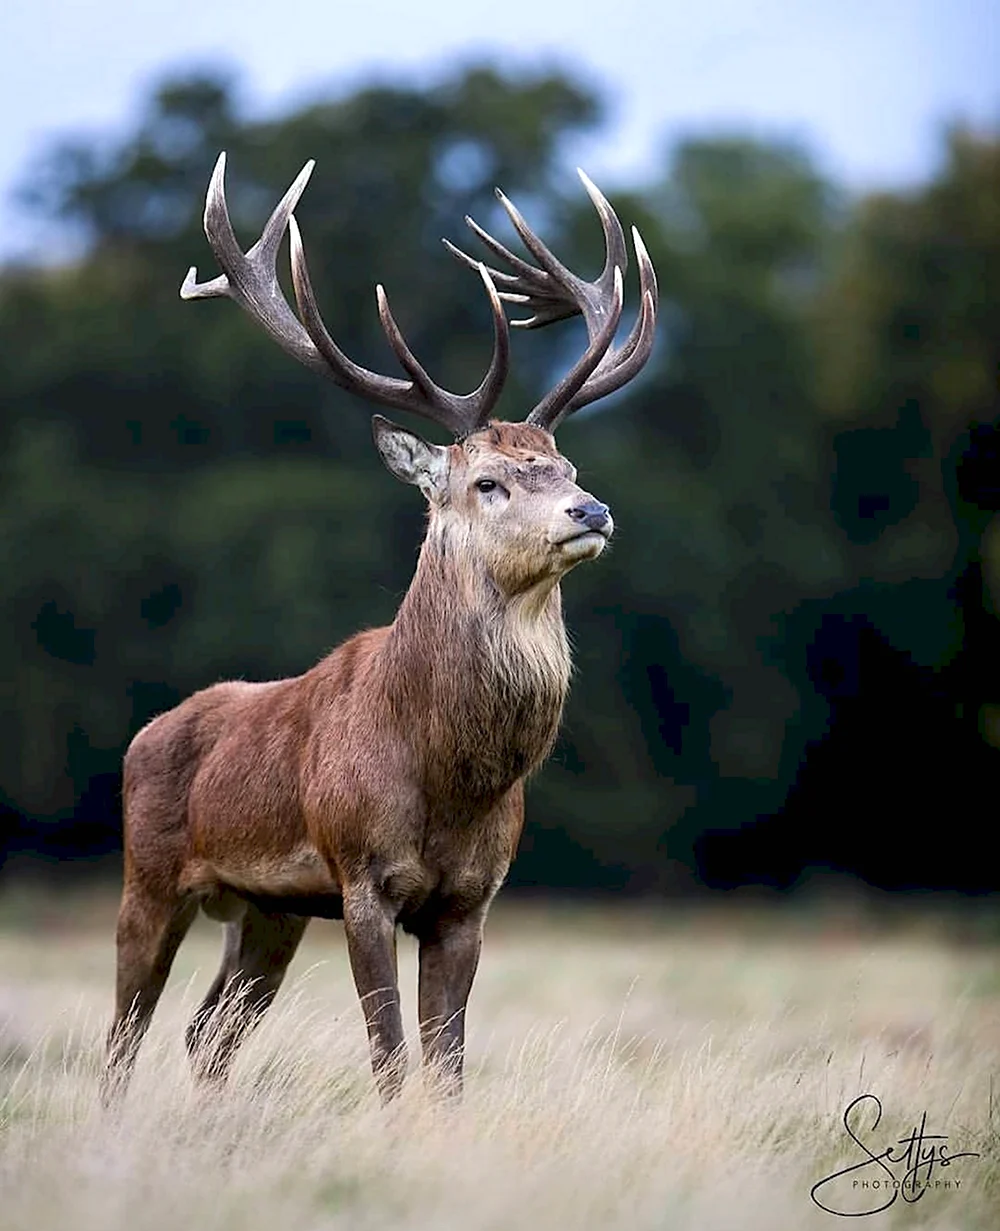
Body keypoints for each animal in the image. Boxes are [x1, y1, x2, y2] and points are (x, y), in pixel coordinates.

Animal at [105, 148, 660, 1102]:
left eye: (564, 465)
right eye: (487, 482)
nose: (592, 510)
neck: (450, 776)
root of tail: (147, 733)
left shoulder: (471, 897)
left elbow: (448, 1065)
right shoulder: (362, 875)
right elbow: (392, 1058)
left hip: (267, 910)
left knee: (207, 1030)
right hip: (148, 875)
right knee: (124, 1035)